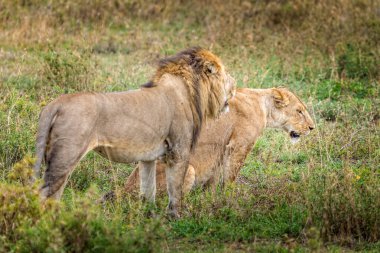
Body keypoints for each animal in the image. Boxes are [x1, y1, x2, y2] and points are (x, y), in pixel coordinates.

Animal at [34, 48, 235, 217]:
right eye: (225, 74)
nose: (235, 82)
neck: (189, 91)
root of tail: (55, 104)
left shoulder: (148, 158)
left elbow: (148, 189)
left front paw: (149, 214)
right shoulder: (179, 152)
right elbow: (175, 191)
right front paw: (175, 217)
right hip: (67, 155)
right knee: (43, 192)